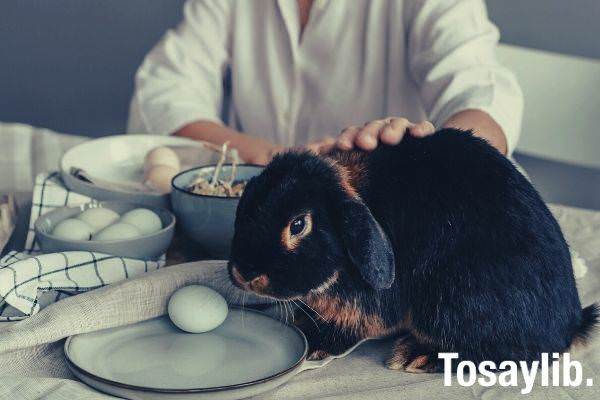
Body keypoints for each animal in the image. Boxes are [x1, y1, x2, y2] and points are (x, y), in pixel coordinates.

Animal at [226, 128, 596, 372]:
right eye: (243, 205)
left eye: (299, 224)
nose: (243, 274)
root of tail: (569, 326)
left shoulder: (368, 306)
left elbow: (351, 327)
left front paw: (314, 343)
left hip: (454, 301)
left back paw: (417, 355)